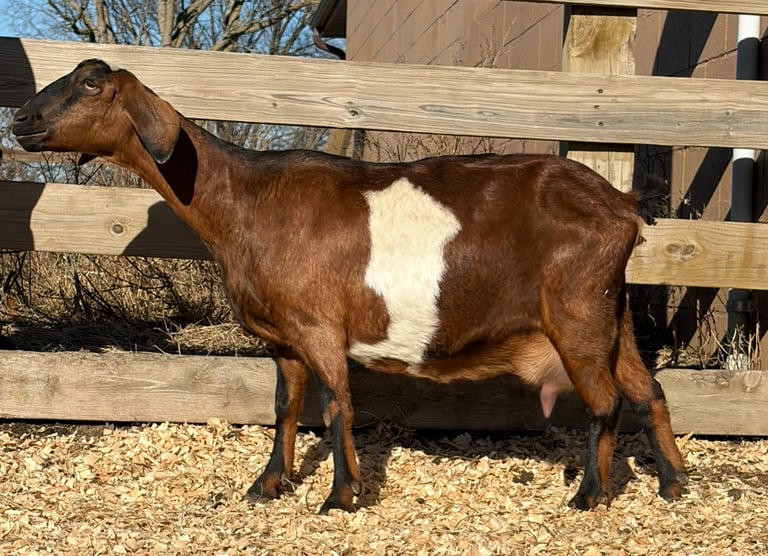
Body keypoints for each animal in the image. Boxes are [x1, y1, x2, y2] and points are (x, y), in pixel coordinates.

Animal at [12, 59, 688, 514]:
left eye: (91, 85)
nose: (21, 118)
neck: (248, 201)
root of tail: (621, 204)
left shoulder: (319, 326)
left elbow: (337, 404)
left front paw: (341, 495)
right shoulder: (283, 337)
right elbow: (285, 406)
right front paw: (267, 486)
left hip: (577, 314)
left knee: (605, 402)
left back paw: (590, 496)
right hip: (611, 313)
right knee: (647, 389)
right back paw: (674, 484)